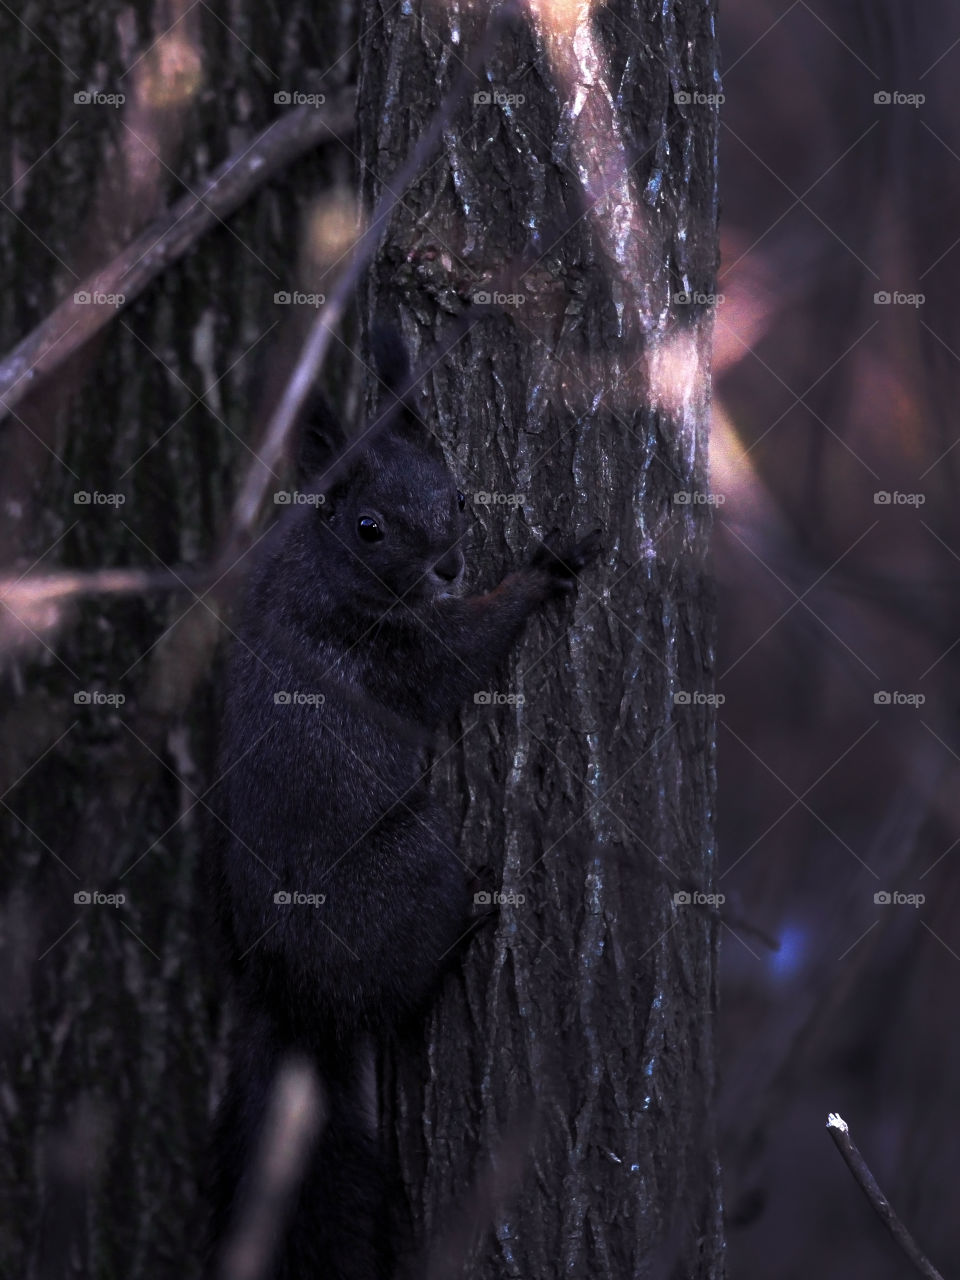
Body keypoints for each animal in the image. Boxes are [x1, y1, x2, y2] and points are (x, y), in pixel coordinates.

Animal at [204, 330, 601, 1280]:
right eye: (368, 527)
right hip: (414, 860)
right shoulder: (389, 658)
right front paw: (538, 574)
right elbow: (463, 650)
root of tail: (298, 998)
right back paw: (469, 926)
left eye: (454, 491)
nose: (449, 564)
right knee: (406, 986)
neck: (319, 563)